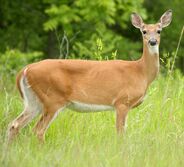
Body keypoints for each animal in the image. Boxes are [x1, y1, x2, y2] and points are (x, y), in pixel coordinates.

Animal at [6, 9, 172, 143]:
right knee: (38, 130)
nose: (152, 41)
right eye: (144, 31)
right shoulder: (122, 102)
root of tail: (25, 70)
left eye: (159, 30)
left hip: (33, 101)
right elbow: (120, 133)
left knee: (14, 125)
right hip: (52, 99)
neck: (140, 72)